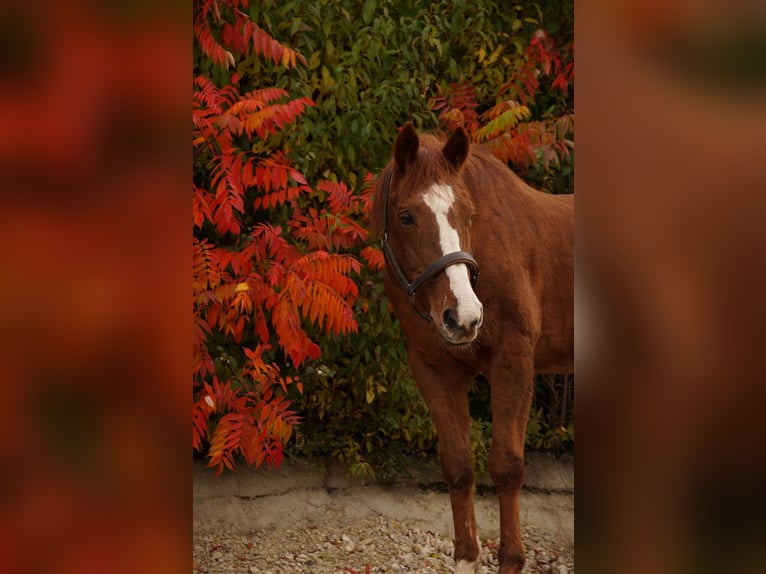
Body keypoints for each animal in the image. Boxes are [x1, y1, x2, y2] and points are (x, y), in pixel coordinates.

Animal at [372, 125, 576, 574]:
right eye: (406, 216)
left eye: (468, 214)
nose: (463, 316)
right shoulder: (435, 372)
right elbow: (458, 466)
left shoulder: (513, 364)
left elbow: (507, 467)